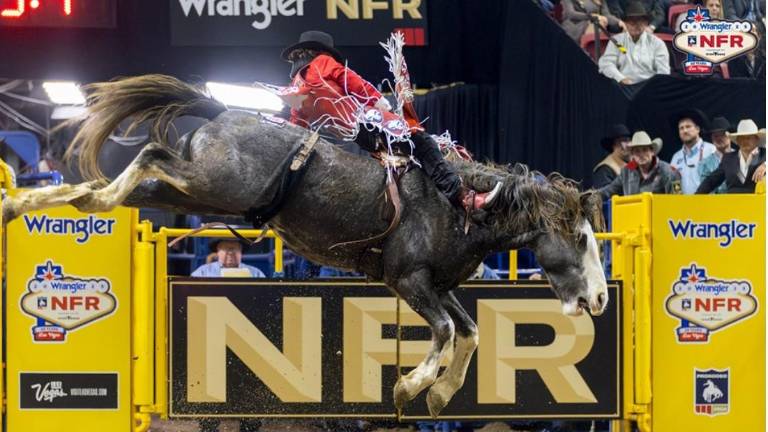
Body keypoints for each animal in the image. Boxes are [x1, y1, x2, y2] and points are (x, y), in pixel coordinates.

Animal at [2, 74, 608, 417]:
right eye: (581, 238)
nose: (600, 299)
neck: (463, 206)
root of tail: (223, 110)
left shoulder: (436, 286)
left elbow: (469, 331)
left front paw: (439, 393)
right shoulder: (408, 280)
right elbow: (442, 331)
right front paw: (409, 387)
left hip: (204, 190)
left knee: (134, 182)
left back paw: (53, 199)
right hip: (212, 183)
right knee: (151, 154)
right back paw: (63, 197)